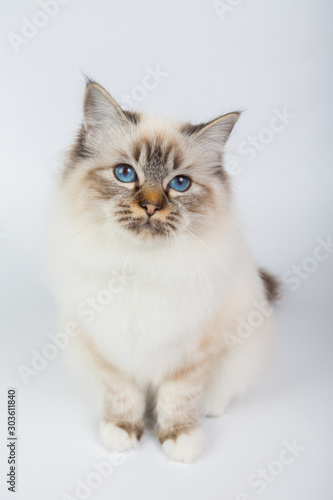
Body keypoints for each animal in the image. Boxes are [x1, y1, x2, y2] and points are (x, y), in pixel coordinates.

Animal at [47, 79, 278, 464]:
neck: (142, 267)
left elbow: (178, 398)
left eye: (180, 183)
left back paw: (212, 408)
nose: (151, 207)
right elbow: (122, 394)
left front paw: (180, 438)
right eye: (125, 173)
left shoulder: (193, 353)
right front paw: (123, 430)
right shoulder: (108, 348)